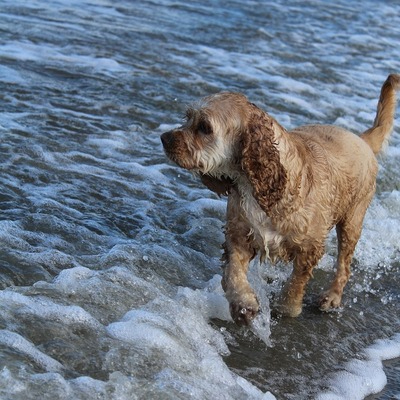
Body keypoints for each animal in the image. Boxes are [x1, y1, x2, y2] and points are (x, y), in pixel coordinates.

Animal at [161, 74, 398, 324]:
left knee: (344, 264)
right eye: (187, 118)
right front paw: (243, 304)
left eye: (205, 127)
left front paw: (288, 307)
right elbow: (234, 272)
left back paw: (332, 296)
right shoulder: (238, 234)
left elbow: (297, 281)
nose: (164, 138)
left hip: (352, 221)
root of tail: (361, 139)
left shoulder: (310, 246)